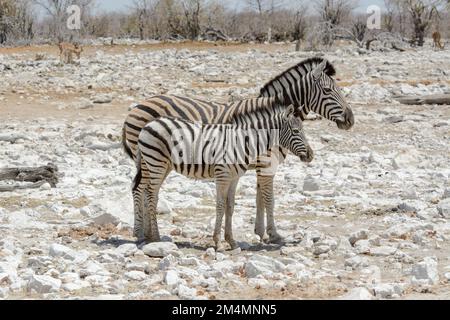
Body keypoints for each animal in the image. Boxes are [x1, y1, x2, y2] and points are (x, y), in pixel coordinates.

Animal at [136, 100, 312, 250]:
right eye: (296, 131)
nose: (311, 155)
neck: (242, 143)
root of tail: (149, 123)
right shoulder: (223, 176)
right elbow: (220, 206)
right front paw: (218, 242)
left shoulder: (234, 177)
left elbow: (230, 206)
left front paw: (231, 241)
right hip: (156, 162)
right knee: (151, 194)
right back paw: (156, 237)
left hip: (159, 165)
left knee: (147, 192)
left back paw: (149, 235)